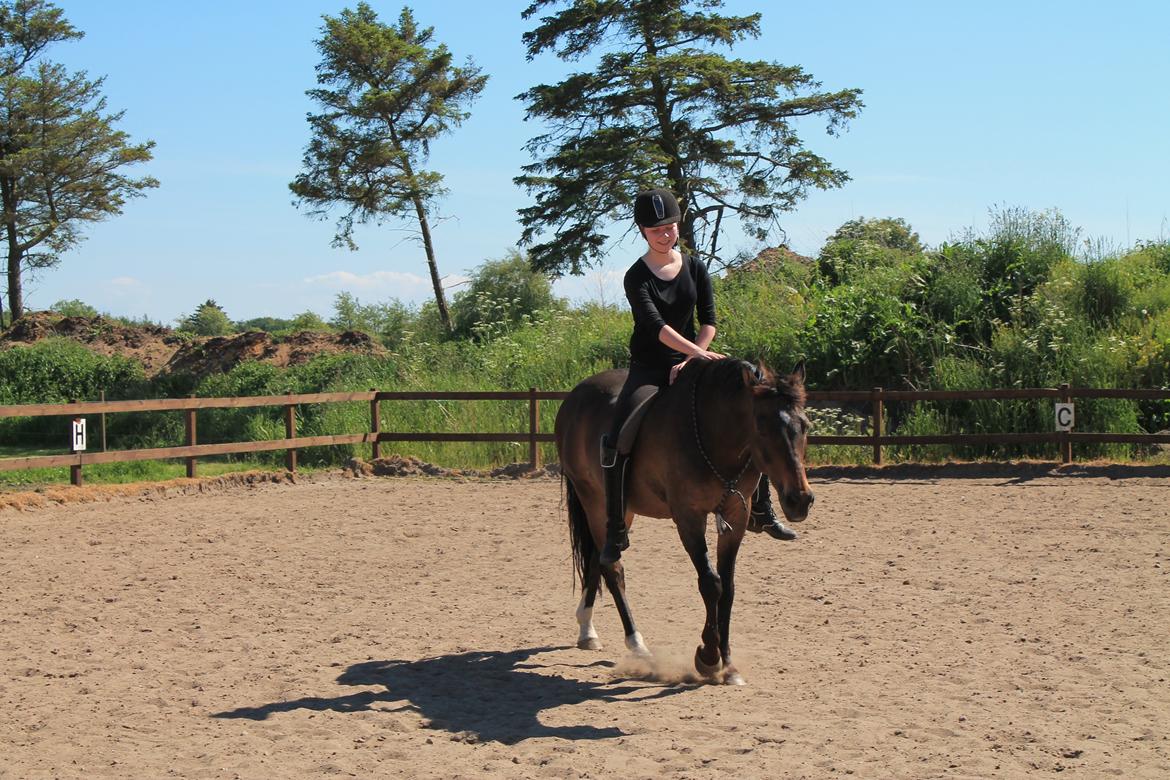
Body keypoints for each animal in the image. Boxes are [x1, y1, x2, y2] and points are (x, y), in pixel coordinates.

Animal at [554, 357, 814, 687]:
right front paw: (708, 658)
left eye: (804, 426)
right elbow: (711, 584)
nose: (800, 500)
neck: (714, 435)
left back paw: (587, 630)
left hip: (621, 510)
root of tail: (575, 396)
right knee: (612, 569)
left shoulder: (736, 516)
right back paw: (637, 645)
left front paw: (729, 665)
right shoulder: (688, 517)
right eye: (762, 426)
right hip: (594, 500)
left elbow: (728, 587)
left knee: (596, 559)